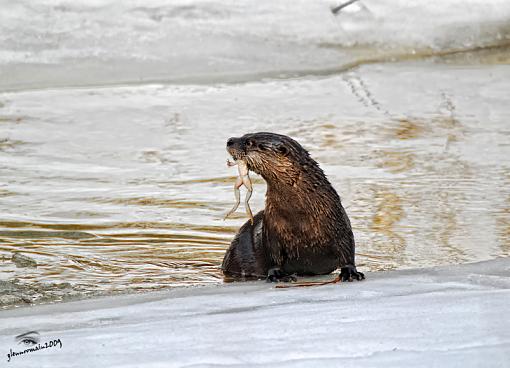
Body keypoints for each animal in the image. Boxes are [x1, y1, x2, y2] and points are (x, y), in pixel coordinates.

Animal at [221, 132, 364, 282]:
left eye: (249, 142)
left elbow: (348, 249)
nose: (230, 141)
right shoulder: (271, 228)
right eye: (244, 135)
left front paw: (350, 272)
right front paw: (277, 274)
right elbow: (273, 255)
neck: (300, 216)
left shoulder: (338, 221)